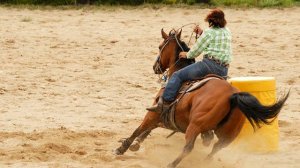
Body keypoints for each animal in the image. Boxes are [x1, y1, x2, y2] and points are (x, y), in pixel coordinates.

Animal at [115, 28, 288, 167]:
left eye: (159, 46)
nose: (155, 67)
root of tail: (232, 95)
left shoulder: (154, 113)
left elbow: (139, 128)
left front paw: (122, 147)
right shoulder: (167, 119)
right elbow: (147, 130)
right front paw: (135, 145)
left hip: (195, 125)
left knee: (188, 147)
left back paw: (172, 164)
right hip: (227, 135)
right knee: (215, 148)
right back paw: (204, 161)